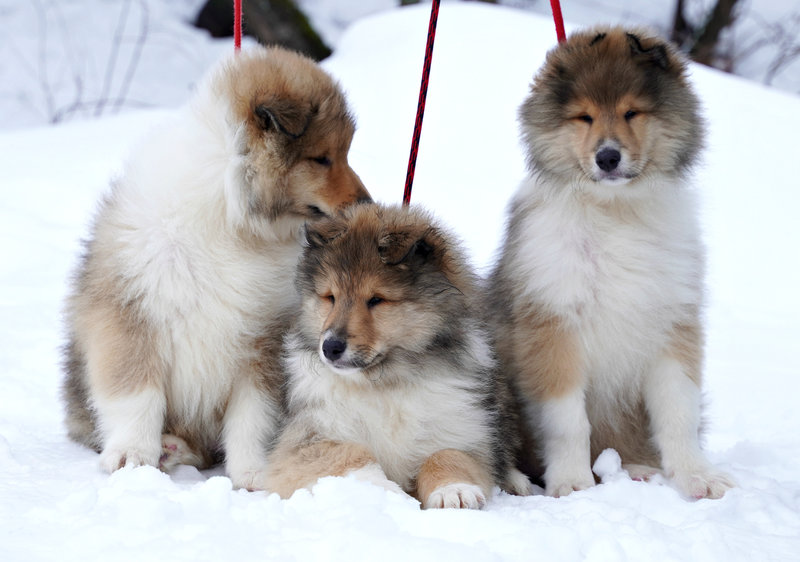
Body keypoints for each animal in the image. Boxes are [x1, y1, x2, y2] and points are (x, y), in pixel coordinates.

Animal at [60, 46, 372, 488]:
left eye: (343, 153)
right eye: (322, 158)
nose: (367, 203)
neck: (232, 214)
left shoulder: (264, 336)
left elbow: (254, 413)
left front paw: (253, 473)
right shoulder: (129, 312)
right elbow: (136, 392)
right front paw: (131, 456)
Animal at [262, 203, 532, 506]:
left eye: (377, 300)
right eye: (330, 297)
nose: (330, 347)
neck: (384, 381)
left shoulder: (463, 428)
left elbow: (448, 454)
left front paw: (454, 490)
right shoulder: (308, 438)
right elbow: (351, 456)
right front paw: (385, 494)